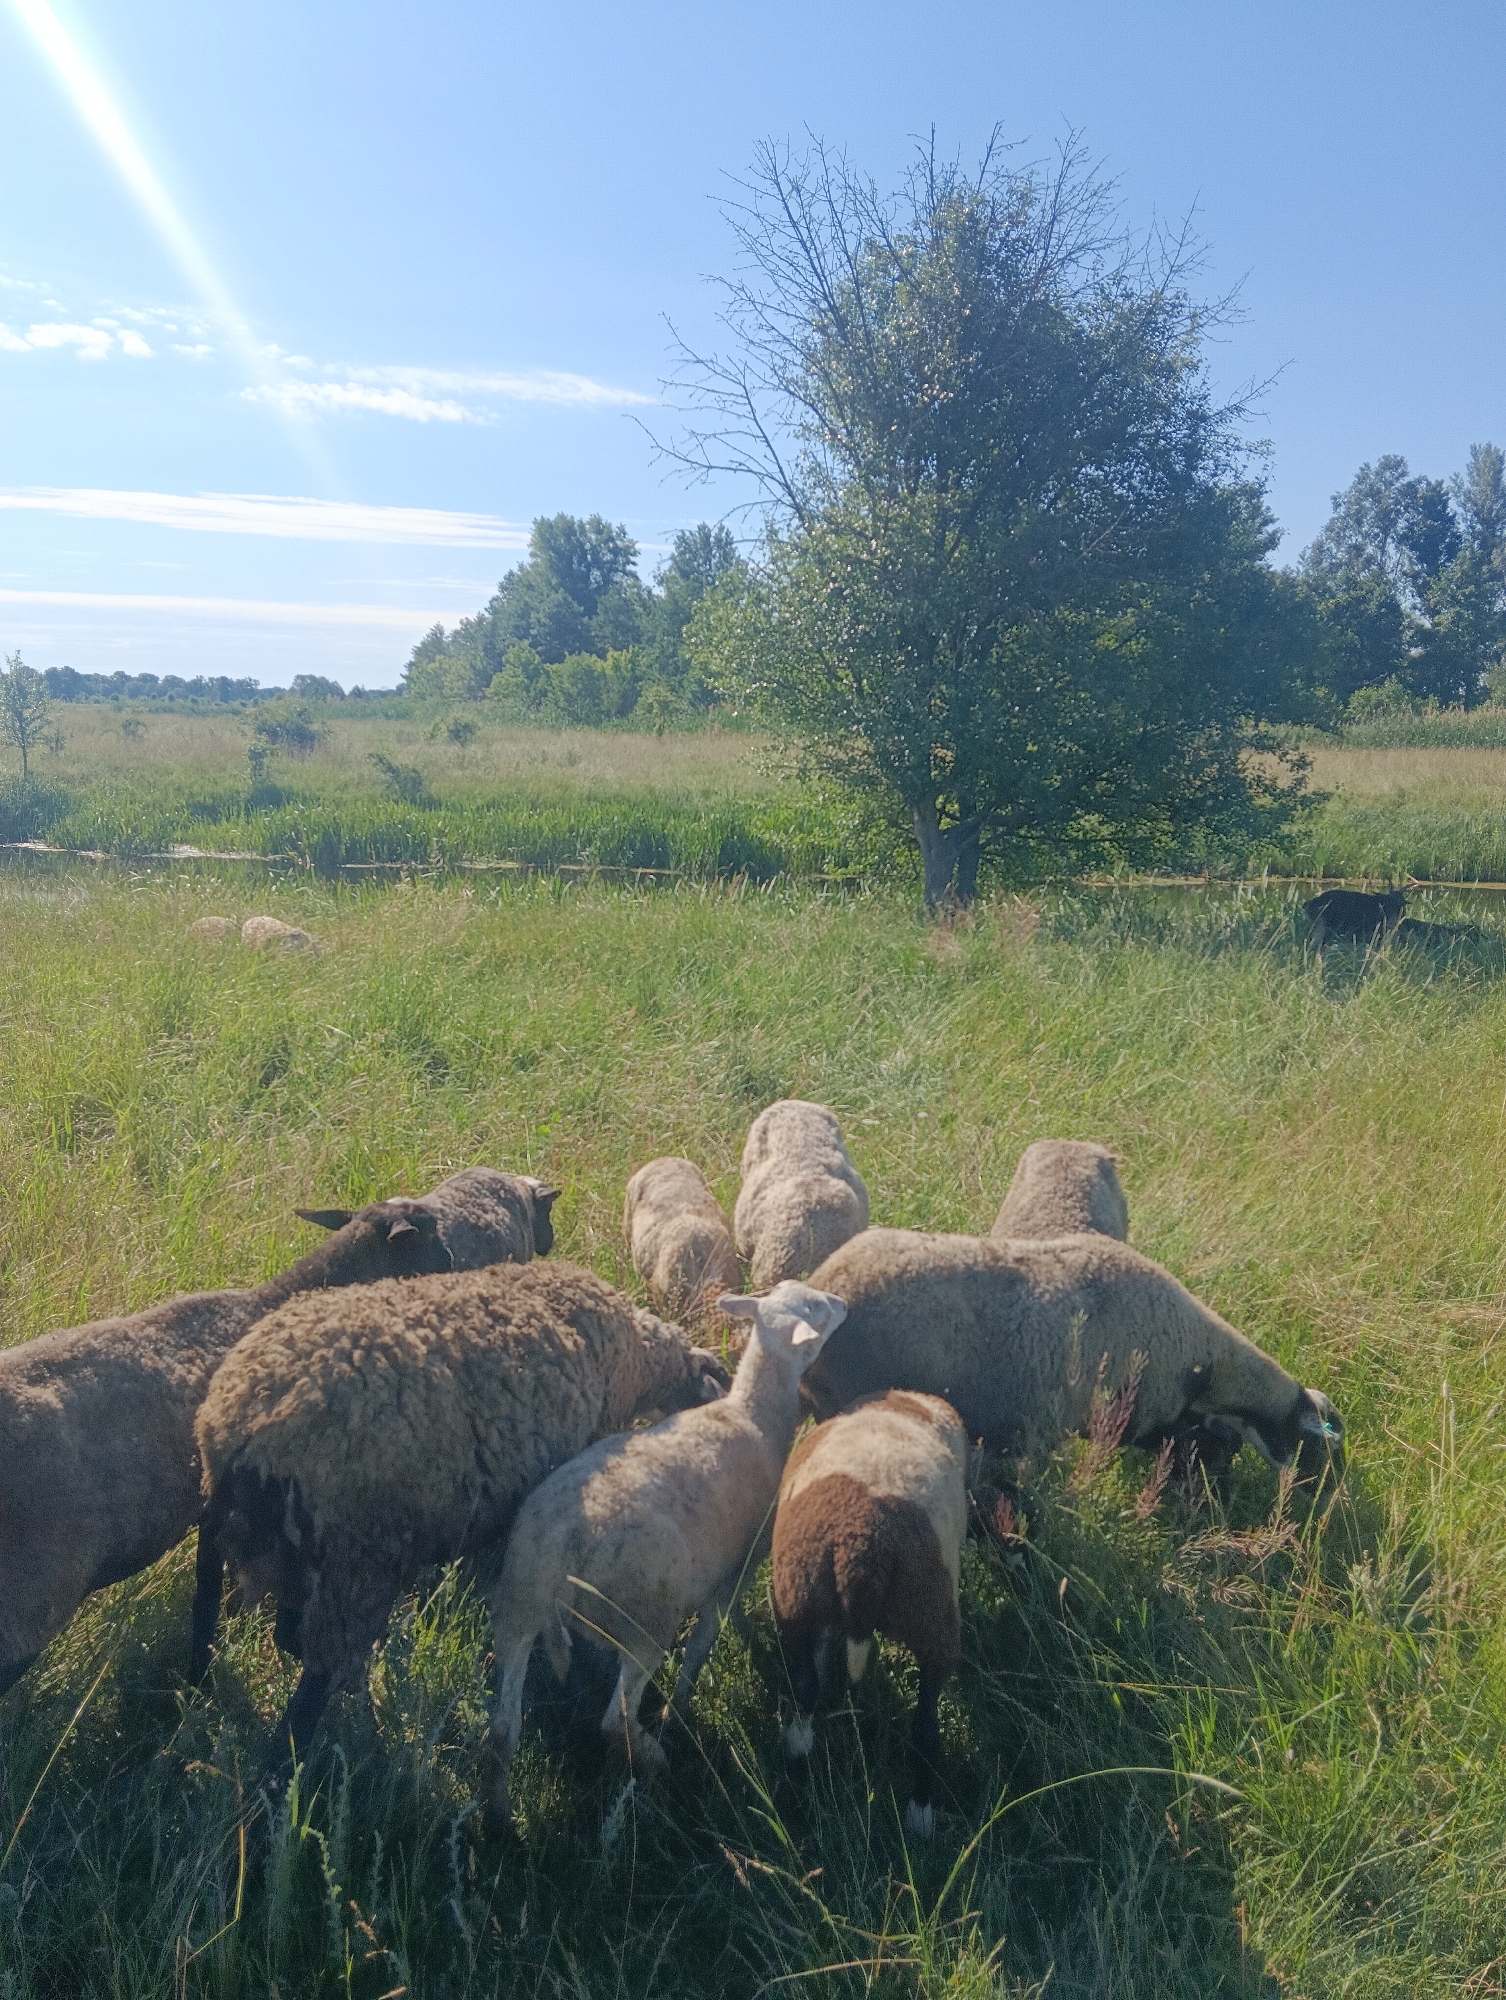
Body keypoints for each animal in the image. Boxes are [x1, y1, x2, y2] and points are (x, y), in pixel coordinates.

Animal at [0, 1168, 557, 1699]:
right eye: (435, 1243)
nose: (463, 1270)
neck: (279, 1298)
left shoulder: (218, 1509)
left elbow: (207, 1597)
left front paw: (200, 1674)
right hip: (31, 1596)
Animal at [196, 1262, 732, 1765]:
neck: (636, 1358)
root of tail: (248, 1426)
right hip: (359, 1555)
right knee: (317, 1676)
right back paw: (302, 1767)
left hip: (267, 1541)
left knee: (257, 1620)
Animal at [482, 1280, 848, 1835]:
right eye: (817, 1311)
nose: (845, 1303)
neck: (752, 1414)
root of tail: (566, 1540)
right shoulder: (733, 1574)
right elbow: (701, 1646)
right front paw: (679, 1709)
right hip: (644, 1619)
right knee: (615, 1719)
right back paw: (654, 1756)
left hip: (519, 1602)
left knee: (503, 1729)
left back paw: (500, 1818)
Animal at [773, 1390, 969, 1839]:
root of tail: (860, 1548)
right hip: (933, 1620)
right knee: (926, 1728)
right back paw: (920, 1816)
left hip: (796, 1598)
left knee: (806, 1688)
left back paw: (797, 1752)